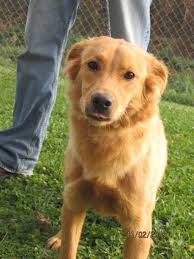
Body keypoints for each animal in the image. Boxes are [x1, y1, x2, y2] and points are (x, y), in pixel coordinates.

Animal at [47, 35, 168, 258]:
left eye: (130, 75)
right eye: (92, 64)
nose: (101, 101)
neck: (106, 137)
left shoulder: (137, 224)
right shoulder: (76, 198)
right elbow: (69, 248)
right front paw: (62, 240)